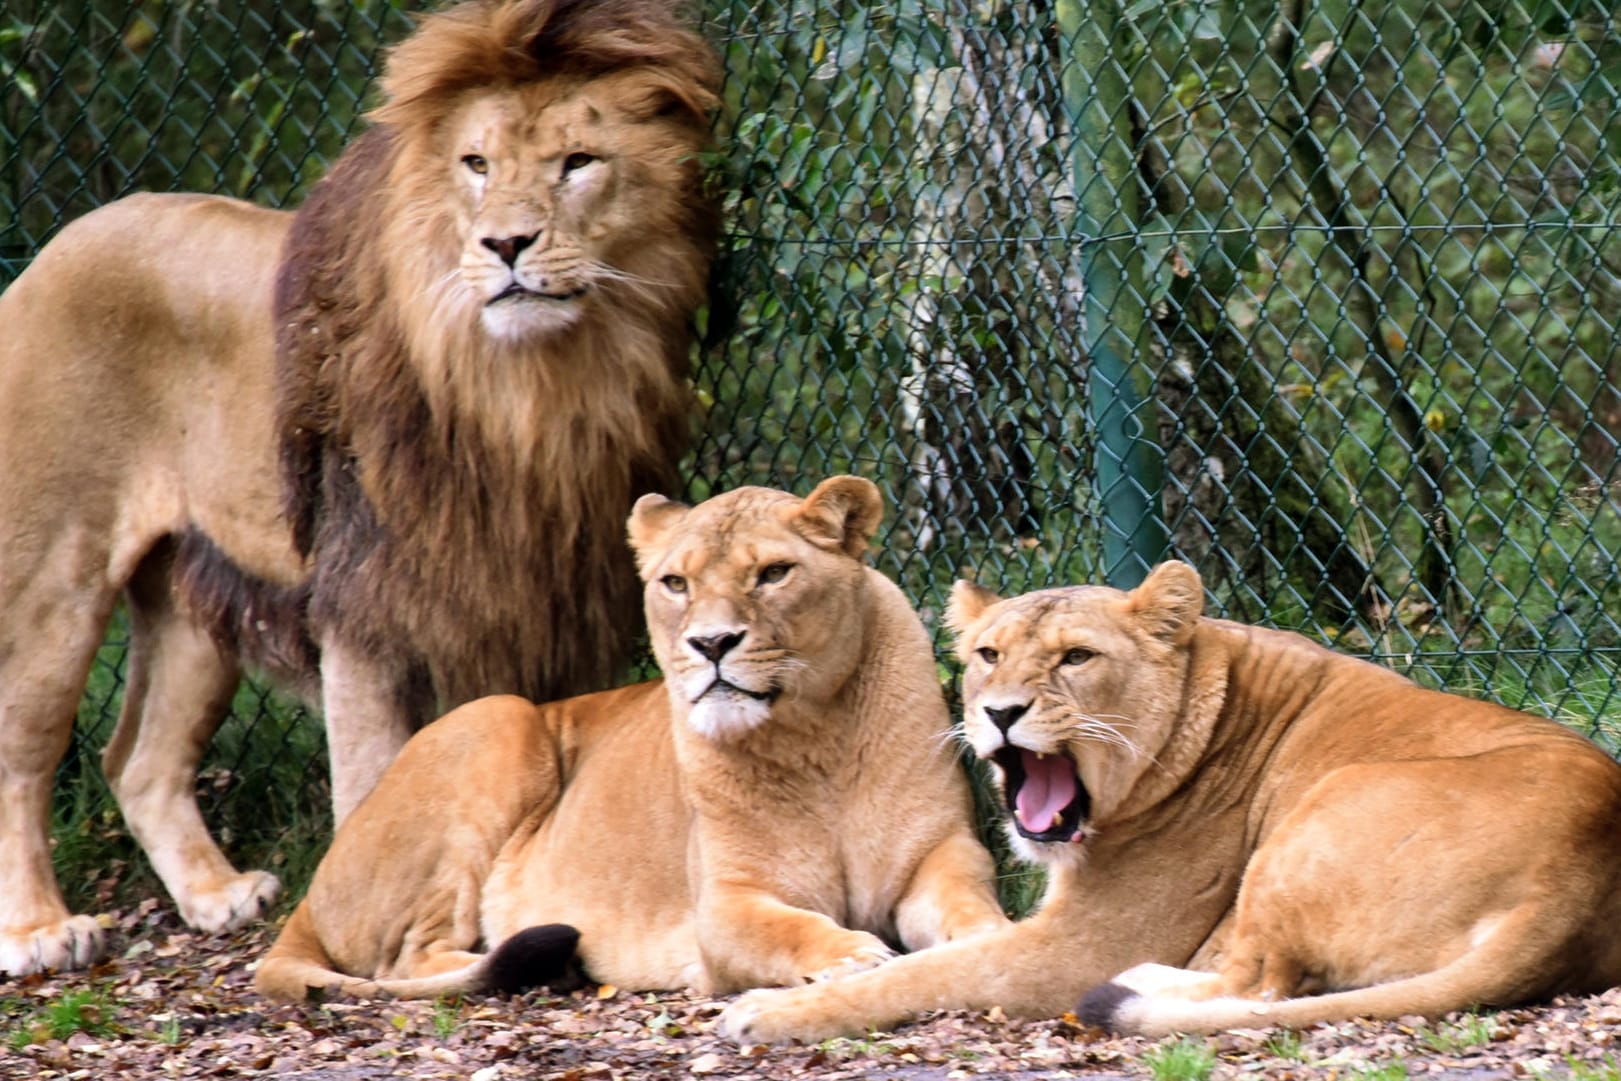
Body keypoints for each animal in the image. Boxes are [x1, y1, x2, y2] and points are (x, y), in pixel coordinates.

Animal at [0, 0, 722, 978]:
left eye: (578, 161)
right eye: (476, 163)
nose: (505, 244)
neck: (532, 393)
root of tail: (56, 246)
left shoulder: (545, 602)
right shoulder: (367, 605)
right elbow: (382, 781)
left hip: (194, 594)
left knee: (137, 760)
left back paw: (217, 895)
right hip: (53, 580)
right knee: (21, 750)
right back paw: (40, 930)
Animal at [249, 476, 1011, 1004]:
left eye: (773, 573)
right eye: (675, 583)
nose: (711, 643)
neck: (811, 735)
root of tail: (313, 889)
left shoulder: (940, 854)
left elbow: (967, 902)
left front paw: (990, 939)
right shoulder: (723, 904)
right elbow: (788, 928)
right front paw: (854, 956)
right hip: (499, 716)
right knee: (410, 958)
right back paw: (556, 962)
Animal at [726, 564, 1621, 1043]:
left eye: (1075, 658)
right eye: (986, 655)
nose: (1000, 712)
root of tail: (1576, 877)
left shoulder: (1074, 946)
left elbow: (916, 973)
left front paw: (770, 1010)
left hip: (1326, 798)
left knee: (1263, 983)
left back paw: (1139, 980)